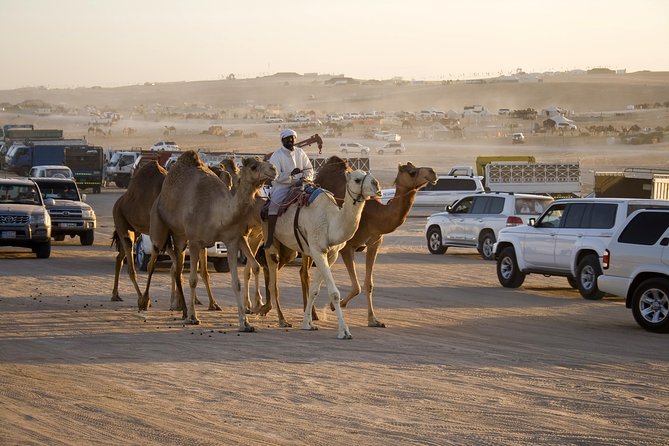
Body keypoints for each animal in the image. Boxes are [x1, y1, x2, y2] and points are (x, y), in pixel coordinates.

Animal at [142, 149, 276, 328]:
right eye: (254, 166)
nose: (273, 169)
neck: (217, 213)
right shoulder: (194, 241)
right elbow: (193, 279)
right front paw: (193, 317)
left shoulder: (232, 240)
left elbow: (236, 282)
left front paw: (245, 323)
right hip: (159, 227)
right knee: (154, 262)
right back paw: (145, 302)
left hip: (179, 238)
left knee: (177, 269)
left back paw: (183, 309)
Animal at [264, 169, 380, 340]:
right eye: (357, 180)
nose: (377, 185)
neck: (331, 223)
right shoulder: (317, 251)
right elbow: (334, 293)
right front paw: (344, 331)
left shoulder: (330, 254)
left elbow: (314, 290)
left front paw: (307, 324)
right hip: (268, 236)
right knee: (270, 276)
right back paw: (279, 319)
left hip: (288, 249)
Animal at [314, 158, 438, 328]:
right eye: (412, 172)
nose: (433, 172)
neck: (375, 216)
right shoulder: (347, 247)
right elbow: (357, 287)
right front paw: (334, 305)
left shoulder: (375, 244)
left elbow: (368, 284)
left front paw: (373, 320)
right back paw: (312, 314)